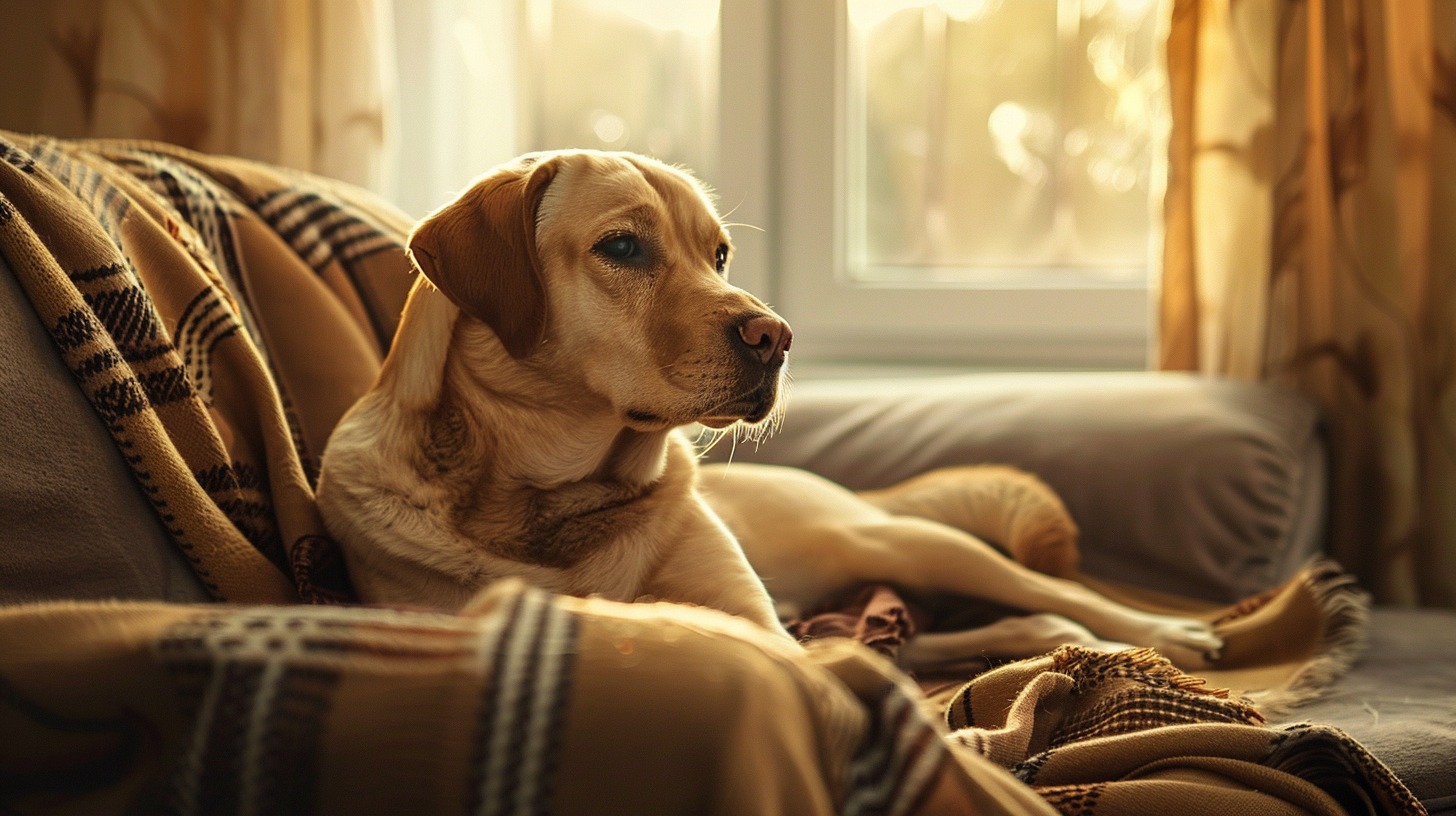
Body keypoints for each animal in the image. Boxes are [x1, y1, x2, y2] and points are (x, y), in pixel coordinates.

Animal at [313, 151, 1223, 670]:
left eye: (718, 254)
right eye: (622, 246)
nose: (776, 336)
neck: (559, 504)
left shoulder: (763, 631)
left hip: (905, 543)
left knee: (1051, 591)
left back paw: (1165, 633)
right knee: (979, 628)